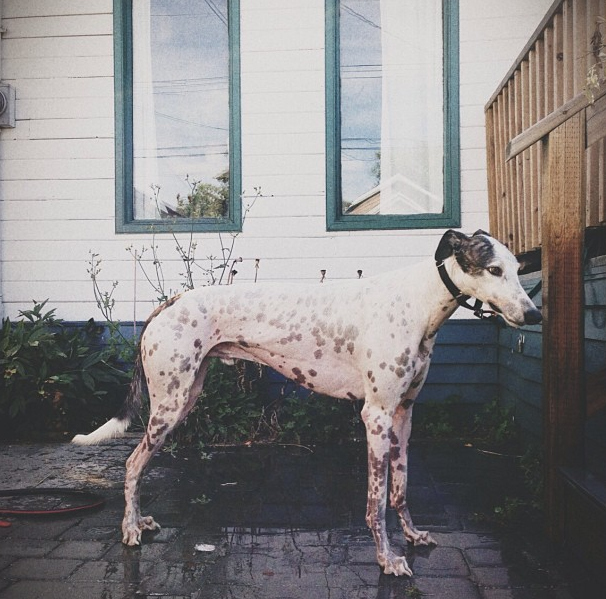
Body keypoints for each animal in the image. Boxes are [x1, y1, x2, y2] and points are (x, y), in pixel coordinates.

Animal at [73, 230, 544, 576]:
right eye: (493, 269)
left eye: (518, 268)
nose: (533, 315)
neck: (419, 302)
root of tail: (168, 303)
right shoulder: (375, 416)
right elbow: (376, 501)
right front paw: (387, 559)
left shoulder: (404, 413)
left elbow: (400, 489)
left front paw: (413, 536)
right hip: (168, 406)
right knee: (132, 463)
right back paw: (130, 529)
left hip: (185, 397)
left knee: (138, 463)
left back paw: (142, 521)